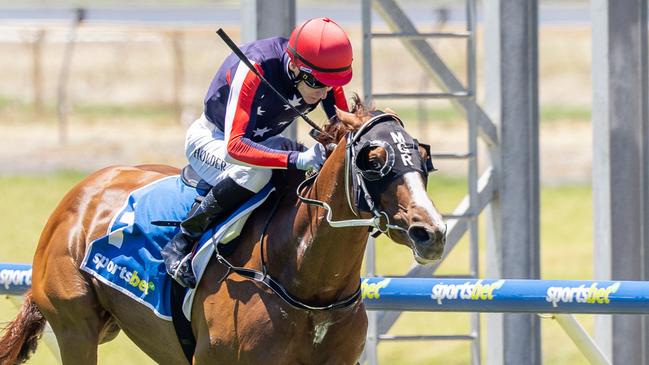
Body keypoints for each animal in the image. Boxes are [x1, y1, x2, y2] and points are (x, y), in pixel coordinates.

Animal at [0, 98, 446, 362]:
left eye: (422, 154)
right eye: (374, 158)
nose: (432, 232)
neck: (309, 285)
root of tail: (80, 193)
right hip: (75, 325)